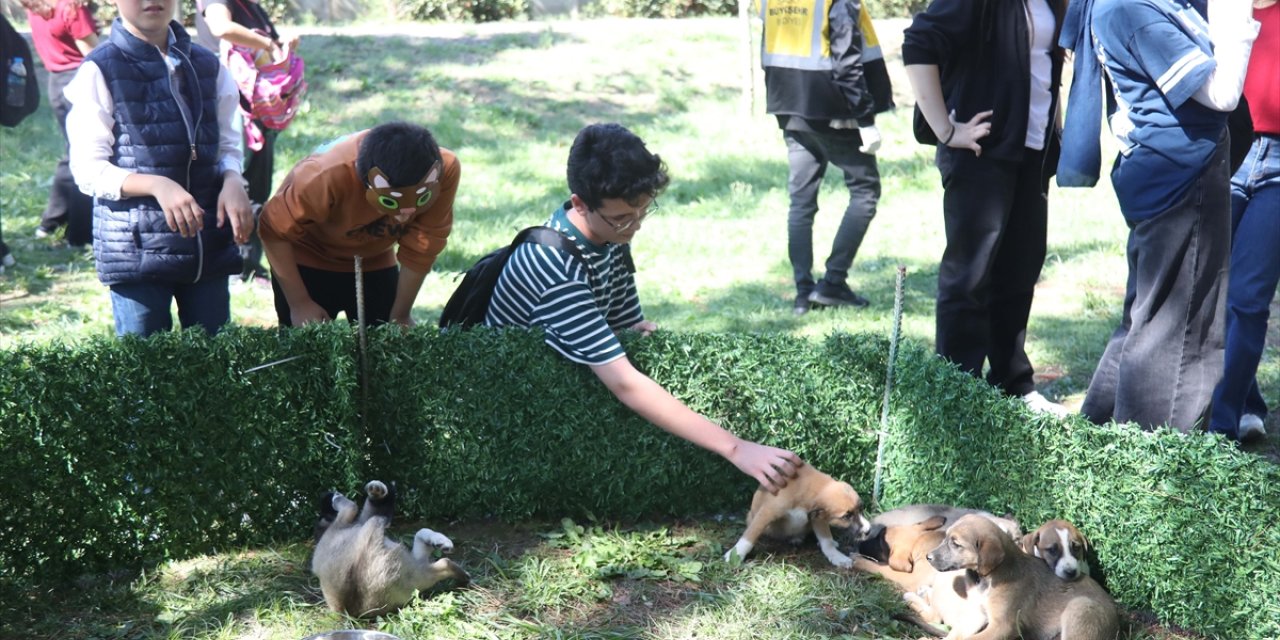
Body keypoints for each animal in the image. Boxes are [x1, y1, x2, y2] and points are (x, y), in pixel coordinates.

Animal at [727, 463, 875, 568]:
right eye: (846, 517)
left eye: (861, 509)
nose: (868, 530)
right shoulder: (767, 511)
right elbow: (750, 534)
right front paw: (736, 553)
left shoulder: (818, 518)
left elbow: (826, 539)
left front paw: (837, 557)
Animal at [926, 514, 1116, 640]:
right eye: (945, 538)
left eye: (956, 544)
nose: (928, 557)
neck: (988, 579)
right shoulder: (976, 615)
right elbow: (955, 635)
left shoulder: (1003, 625)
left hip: (1080, 607)